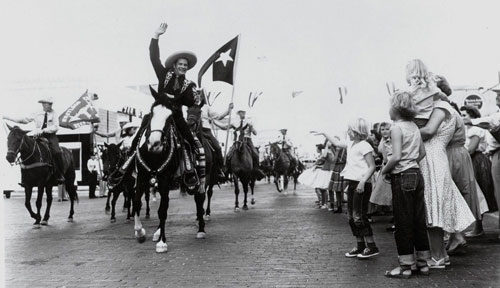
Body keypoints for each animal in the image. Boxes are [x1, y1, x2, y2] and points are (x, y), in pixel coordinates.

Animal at [132, 86, 206, 253]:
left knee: (198, 200)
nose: (154, 143)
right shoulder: (142, 177)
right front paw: (140, 232)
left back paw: (201, 230)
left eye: (171, 116)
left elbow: (163, 210)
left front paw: (162, 242)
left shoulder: (165, 179)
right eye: (151, 112)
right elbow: (137, 203)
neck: (153, 155)